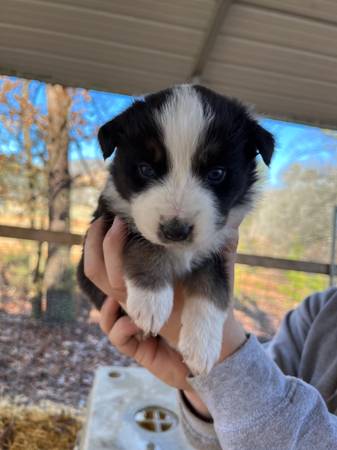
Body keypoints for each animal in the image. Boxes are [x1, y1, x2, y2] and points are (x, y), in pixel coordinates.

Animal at [78, 85, 272, 376]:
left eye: (217, 173)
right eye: (146, 169)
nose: (175, 231)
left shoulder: (218, 247)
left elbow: (213, 289)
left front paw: (202, 347)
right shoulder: (111, 218)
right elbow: (145, 244)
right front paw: (150, 302)